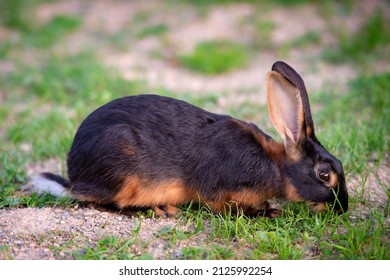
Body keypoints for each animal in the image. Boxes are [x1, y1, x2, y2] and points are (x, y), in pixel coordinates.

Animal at [28, 61, 350, 218]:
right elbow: (225, 208)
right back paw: (159, 209)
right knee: (106, 202)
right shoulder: (221, 192)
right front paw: (268, 212)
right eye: (325, 175)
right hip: (120, 166)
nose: (342, 208)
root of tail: (74, 177)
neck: (276, 166)